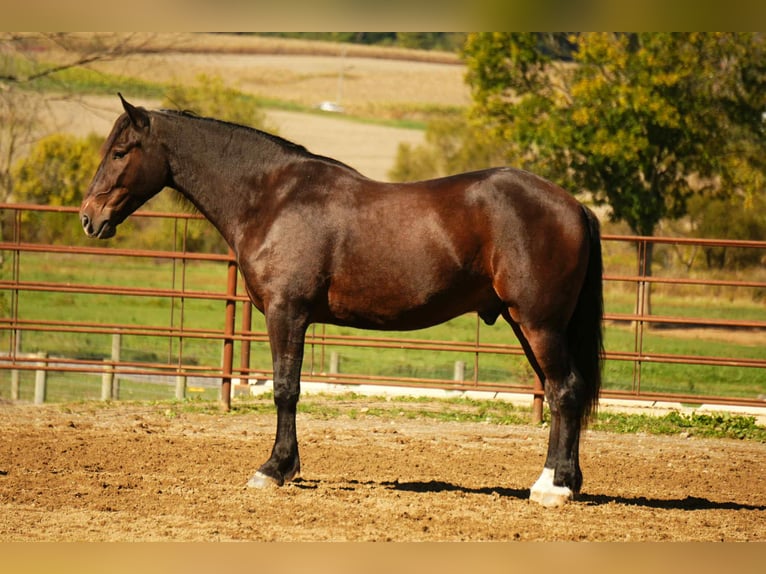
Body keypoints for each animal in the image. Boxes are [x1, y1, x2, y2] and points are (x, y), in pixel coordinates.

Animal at [80, 95, 603, 507]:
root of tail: (575, 206)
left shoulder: (286, 313)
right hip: (528, 325)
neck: (272, 198)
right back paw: (561, 481)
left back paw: (553, 488)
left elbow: (285, 390)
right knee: (561, 392)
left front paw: (274, 469)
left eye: (121, 151)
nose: (89, 217)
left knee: (564, 390)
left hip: (538, 324)